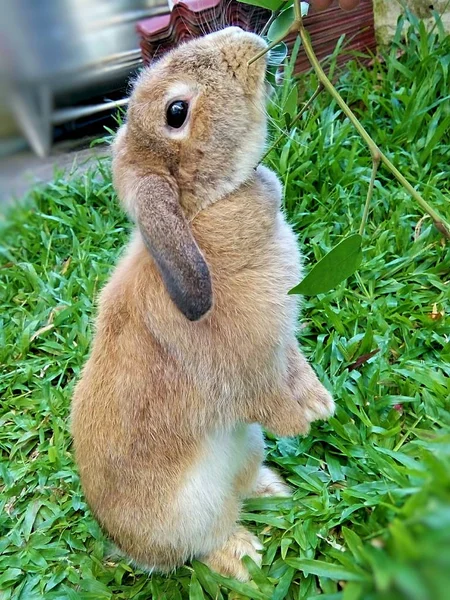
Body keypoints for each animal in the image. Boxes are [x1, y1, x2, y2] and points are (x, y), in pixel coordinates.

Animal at [71, 27, 334, 580]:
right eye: (177, 112)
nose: (241, 37)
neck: (201, 211)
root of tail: (127, 547)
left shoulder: (282, 340)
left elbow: (296, 365)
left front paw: (321, 405)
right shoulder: (249, 369)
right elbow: (267, 396)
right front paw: (300, 423)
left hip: (246, 449)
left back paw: (274, 491)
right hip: (192, 511)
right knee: (203, 543)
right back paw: (244, 555)